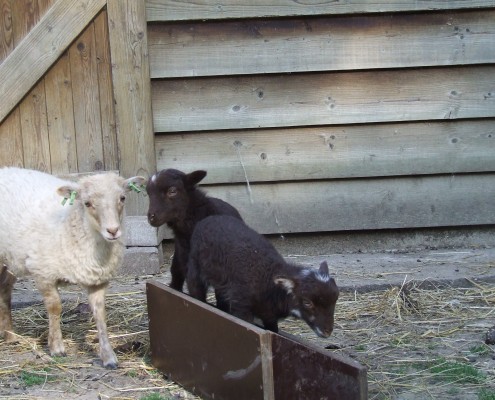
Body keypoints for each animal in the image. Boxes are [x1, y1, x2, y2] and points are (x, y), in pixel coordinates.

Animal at [0, 166, 146, 368]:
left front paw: (108, 356)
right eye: (87, 203)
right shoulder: (43, 272)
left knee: (4, 288)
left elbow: (100, 313)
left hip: (12, 257)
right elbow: (55, 308)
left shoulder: (97, 279)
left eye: (122, 198)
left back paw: (10, 336)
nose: (113, 231)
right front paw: (57, 348)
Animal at [188, 216, 340, 338]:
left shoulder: (269, 315)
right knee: (195, 288)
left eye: (335, 301)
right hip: (195, 265)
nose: (327, 331)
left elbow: (273, 330)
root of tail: (209, 218)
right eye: (307, 302)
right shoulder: (241, 305)